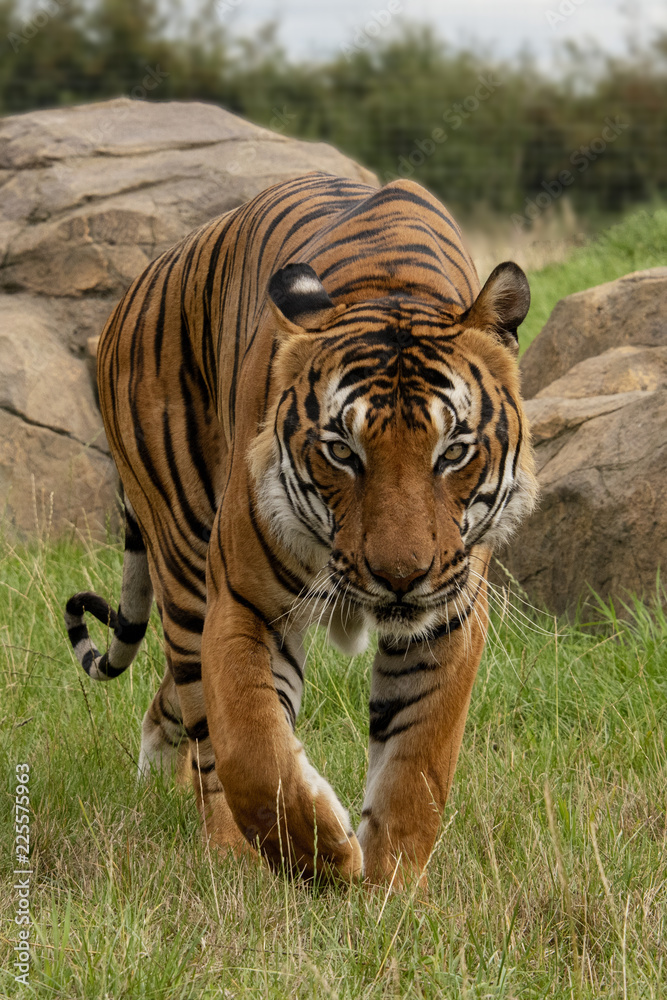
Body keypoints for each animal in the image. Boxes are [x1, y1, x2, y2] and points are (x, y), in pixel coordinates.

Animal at [64, 171, 537, 886]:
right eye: (342, 451)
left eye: (453, 451)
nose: (400, 578)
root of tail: (130, 295)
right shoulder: (243, 601)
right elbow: (253, 750)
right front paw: (326, 858)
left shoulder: (448, 618)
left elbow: (417, 762)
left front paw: (389, 885)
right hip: (184, 566)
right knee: (202, 722)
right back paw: (228, 852)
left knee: (170, 702)